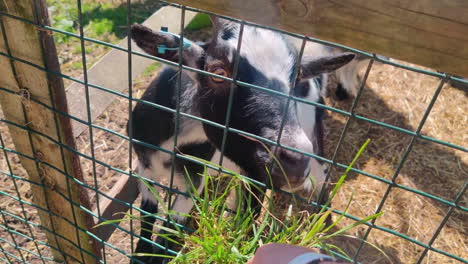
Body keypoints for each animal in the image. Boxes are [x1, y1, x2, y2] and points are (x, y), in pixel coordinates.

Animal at [127, 17, 354, 264]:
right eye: (218, 72)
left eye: (295, 80)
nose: (293, 162)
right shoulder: (145, 167)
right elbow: (147, 217)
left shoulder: (192, 183)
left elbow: (168, 233)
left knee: (321, 179)